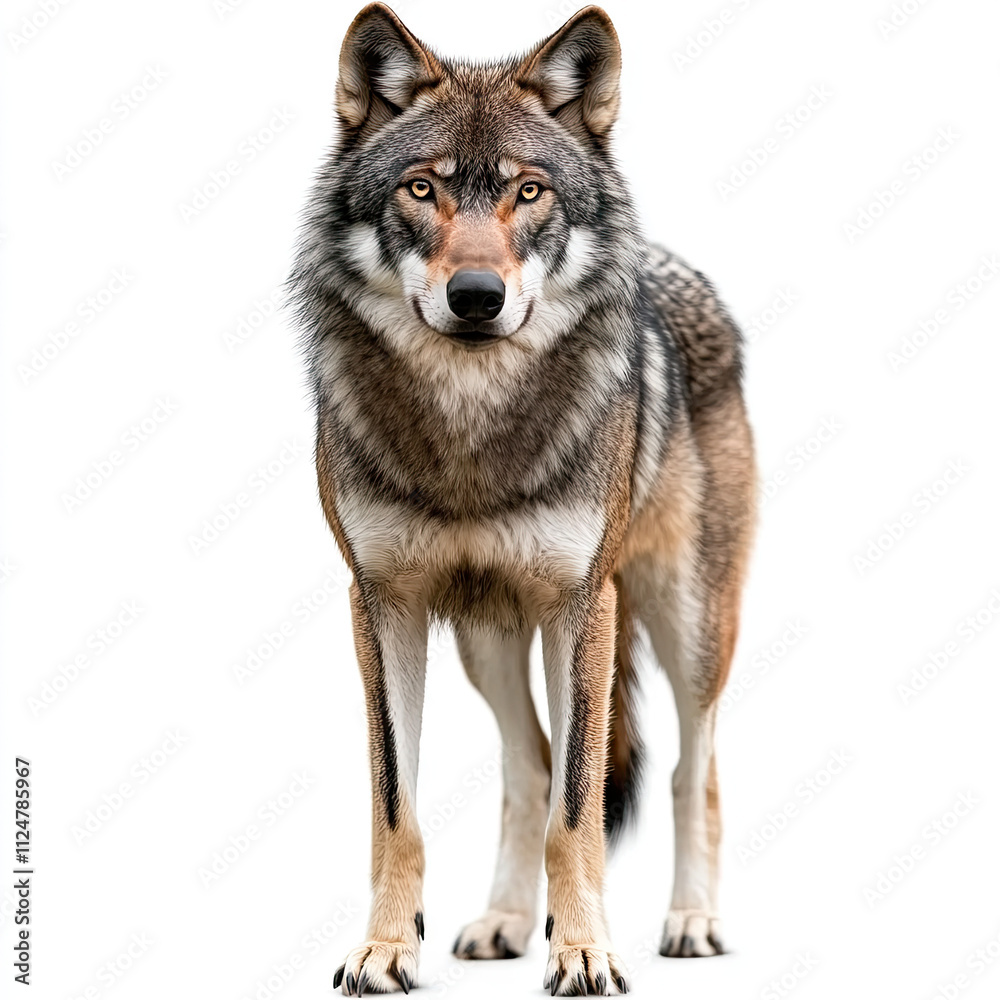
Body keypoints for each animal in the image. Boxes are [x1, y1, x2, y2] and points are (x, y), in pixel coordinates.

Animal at [288, 4, 756, 995]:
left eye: (530, 193)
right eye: (422, 189)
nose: (476, 296)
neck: (471, 432)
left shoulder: (583, 606)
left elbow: (578, 812)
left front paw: (584, 953)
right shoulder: (381, 605)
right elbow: (399, 806)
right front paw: (386, 948)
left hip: (687, 624)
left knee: (690, 772)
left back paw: (692, 920)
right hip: (488, 640)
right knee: (528, 761)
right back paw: (504, 922)